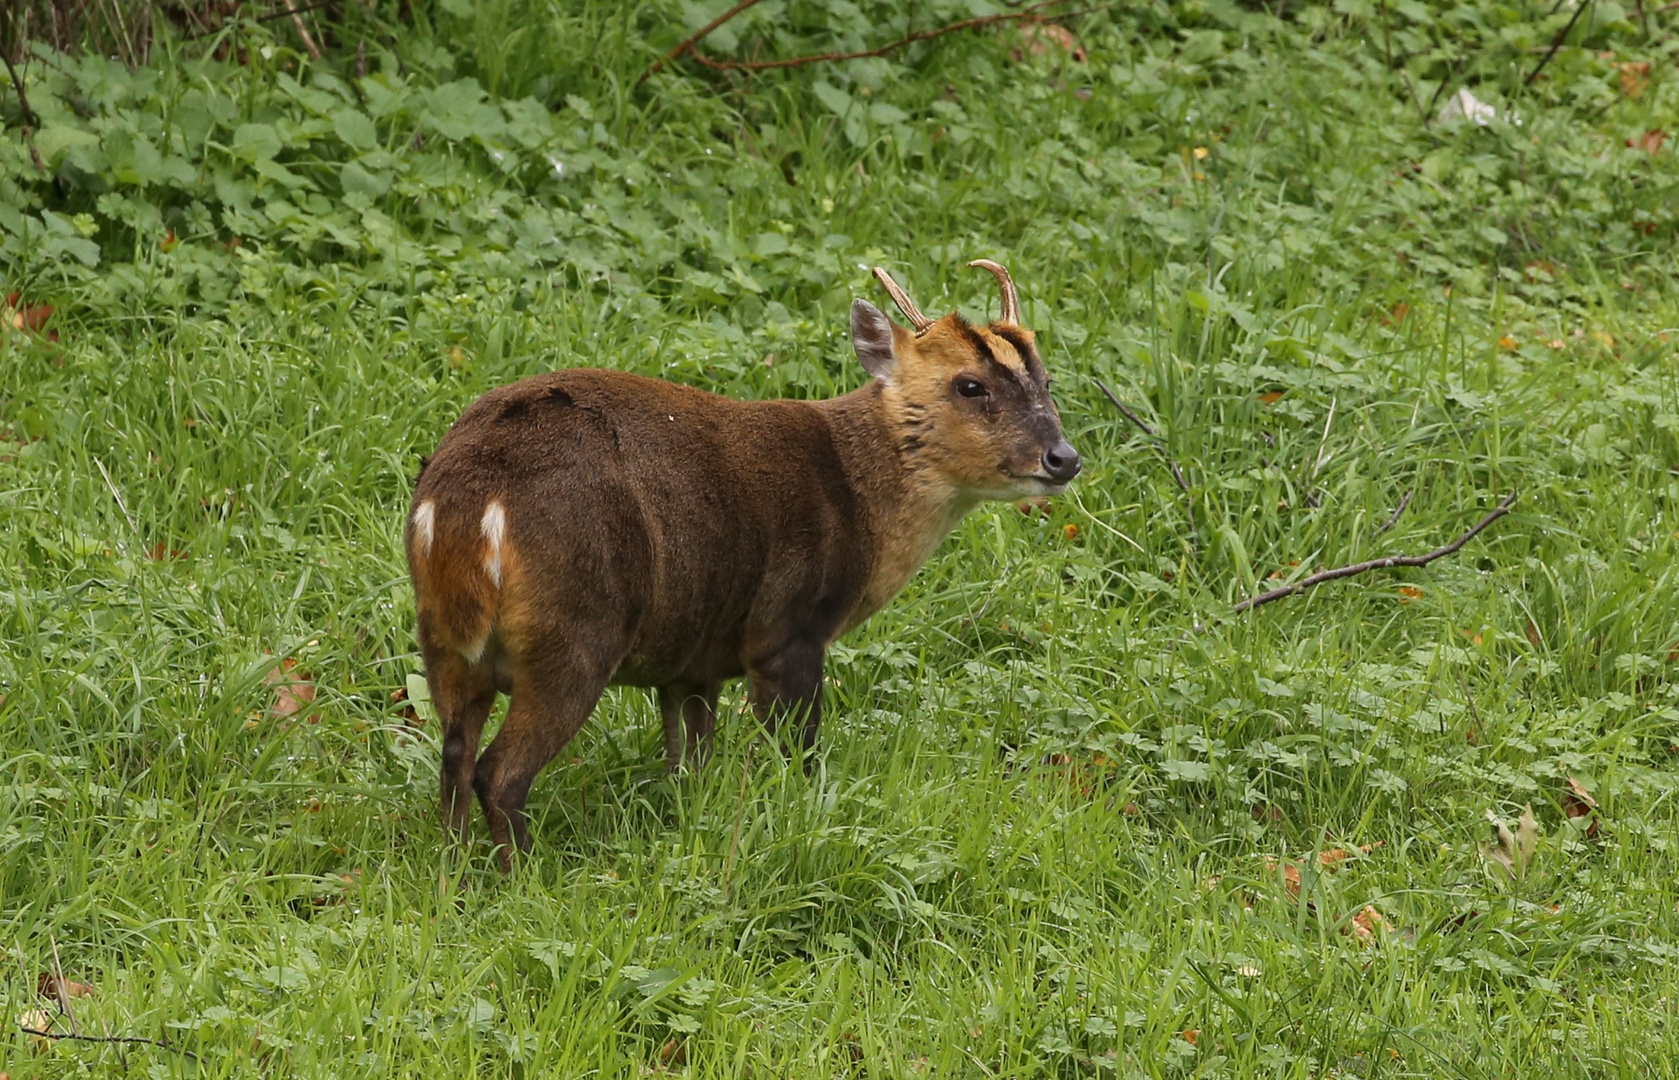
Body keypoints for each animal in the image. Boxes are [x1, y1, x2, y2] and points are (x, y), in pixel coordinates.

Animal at [413, 263, 1081, 873]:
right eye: (970, 386)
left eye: (1046, 379)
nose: (1064, 458)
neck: (860, 497)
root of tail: (469, 499)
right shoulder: (788, 628)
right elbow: (794, 753)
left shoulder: (690, 657)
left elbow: (688, 756)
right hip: (576, 630)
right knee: (498, 772)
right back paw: (525, 878)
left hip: (444, 640)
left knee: (453, 758)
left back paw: (452, 874)